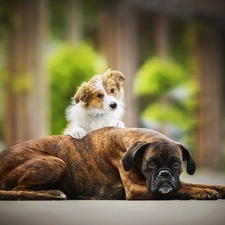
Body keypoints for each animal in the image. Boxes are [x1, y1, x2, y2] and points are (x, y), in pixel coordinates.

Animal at [0, 127, 225, 200]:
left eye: (176, 164)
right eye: (151, 163)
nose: (164, 174)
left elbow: (189, 184)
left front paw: (215, 188)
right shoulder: (136, 189)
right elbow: (182, 189)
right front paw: (203, 193)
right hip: (56, 163)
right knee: (18, 190)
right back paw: (53, 193)